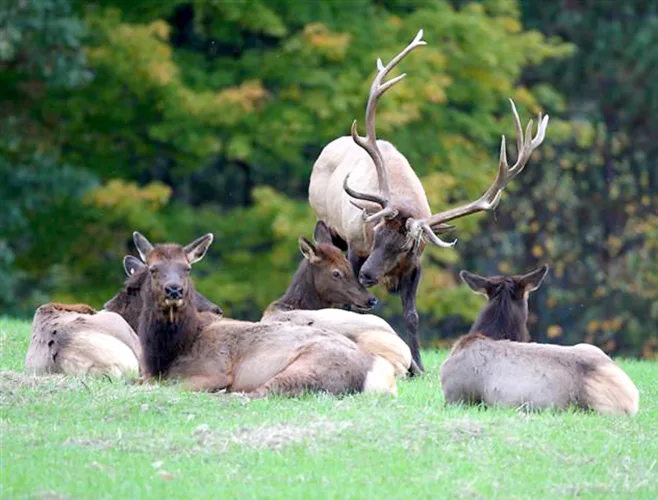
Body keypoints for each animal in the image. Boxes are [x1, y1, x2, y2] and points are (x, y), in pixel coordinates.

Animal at [132, 231, 397, 397]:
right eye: (153, 269)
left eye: (187, 269)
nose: (174, 289)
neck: (167, 353)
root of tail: (381, 377)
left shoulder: (214, 370)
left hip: (314, 366)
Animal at [308, 29, 550, 372]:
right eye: (375, 233)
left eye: (404, 246)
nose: (368, 274)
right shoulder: (356, 247)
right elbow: (354, 305)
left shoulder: (416, 265)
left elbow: (412, 315)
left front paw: (420, 366)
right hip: (329, 225)